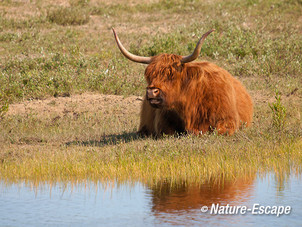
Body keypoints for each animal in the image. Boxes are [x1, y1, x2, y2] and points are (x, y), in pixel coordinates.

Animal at [112, 27, 252, 136]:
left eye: (171, 75)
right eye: (149, 76)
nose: (152, 92)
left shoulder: (228, 120)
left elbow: (219, 130)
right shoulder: (162, 122)